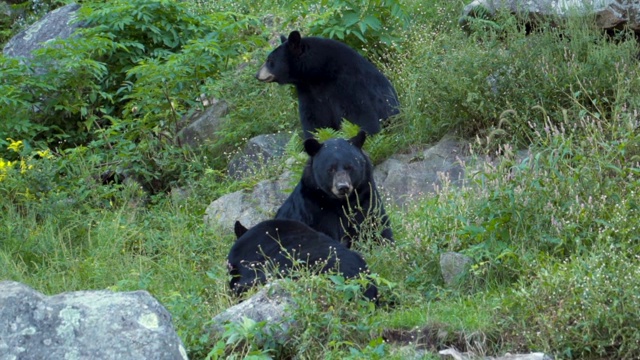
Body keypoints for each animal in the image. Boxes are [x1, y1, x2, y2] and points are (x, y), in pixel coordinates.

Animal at [256, 30, 400, 139]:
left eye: (270, 60)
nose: (256, 74)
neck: (317, 74)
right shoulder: (308, 91)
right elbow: (314, 118)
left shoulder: (347, 82)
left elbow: (360, 112)